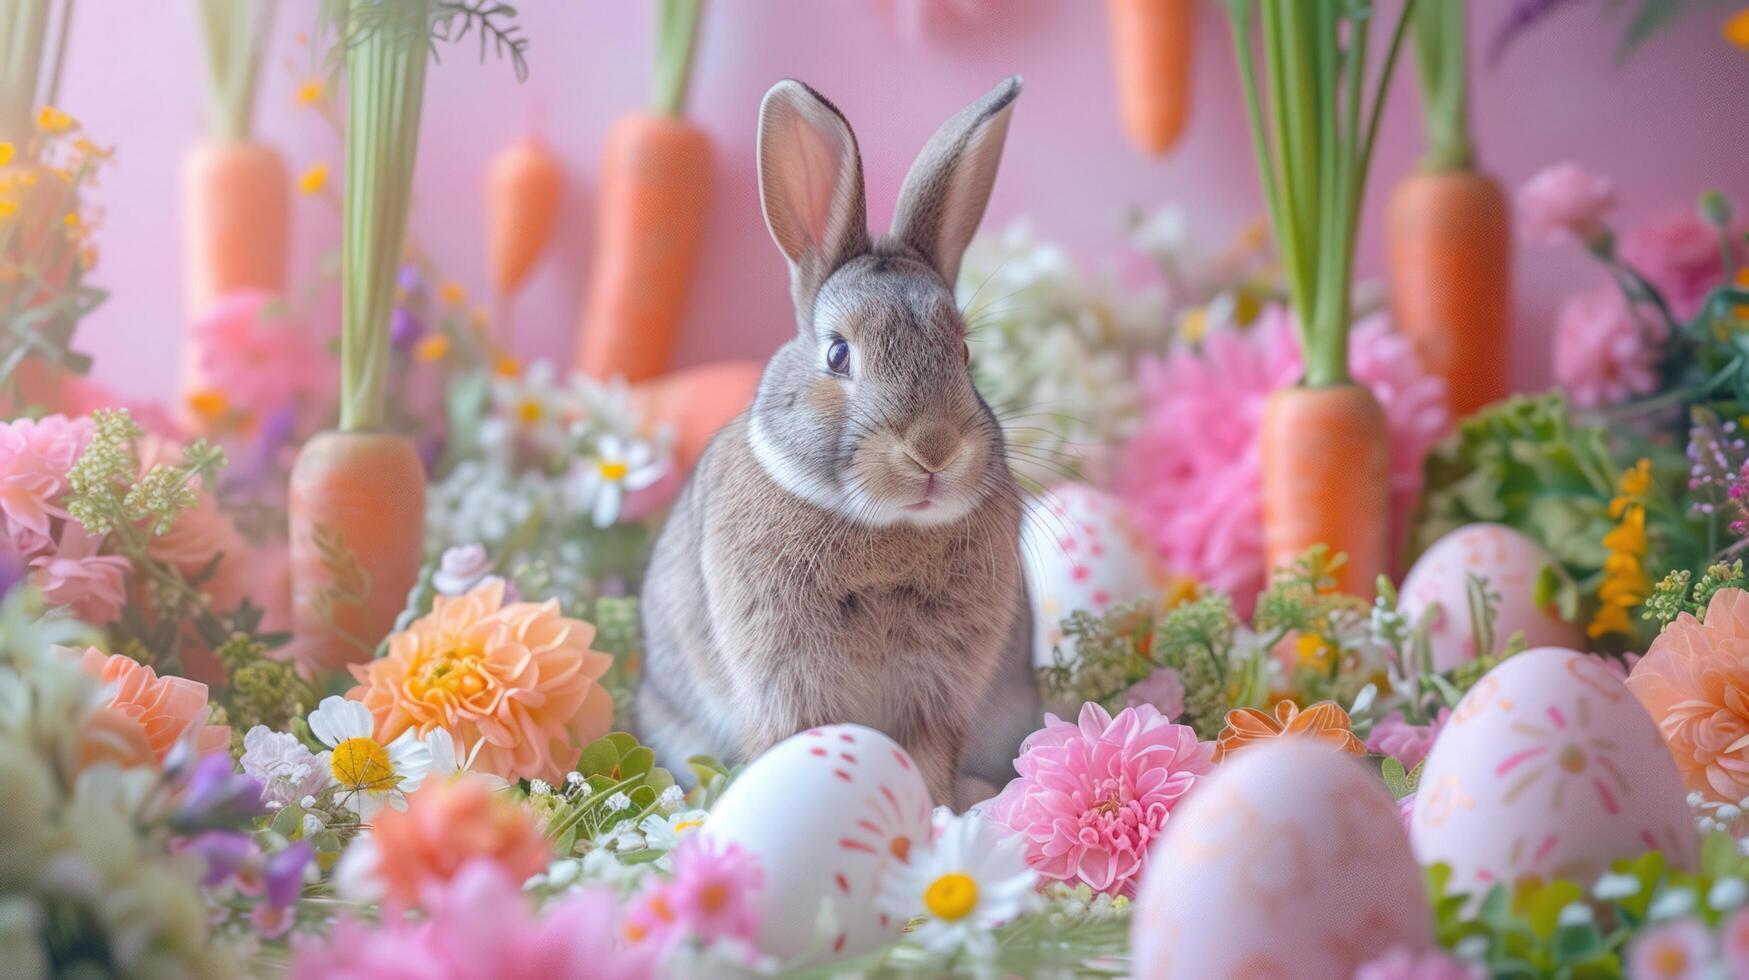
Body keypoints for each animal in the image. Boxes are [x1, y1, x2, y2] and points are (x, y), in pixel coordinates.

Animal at [640, 76, 1035, 808]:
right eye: (837, 354)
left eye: (965, 354)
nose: (933, 450)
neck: (885, 530)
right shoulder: (786, 679)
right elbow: (801, 744)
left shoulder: (937, 692)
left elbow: (927, 758)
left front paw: (941, 814)